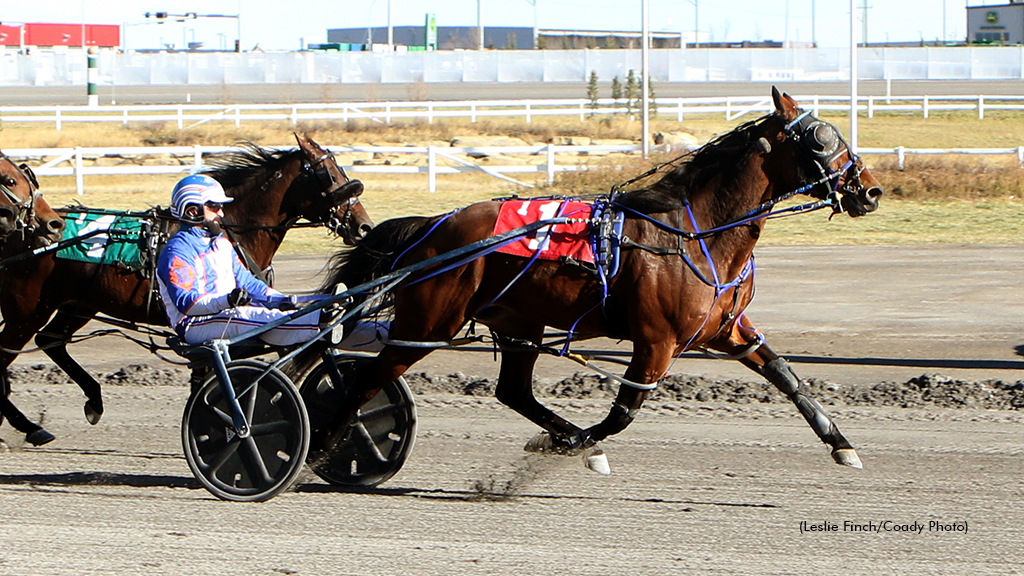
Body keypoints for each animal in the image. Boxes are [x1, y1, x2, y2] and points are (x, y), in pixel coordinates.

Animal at [0, 133, 374, 444]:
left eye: (340, 167)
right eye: (328, 175)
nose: (364, 226)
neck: (228, 229)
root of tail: (21, 232)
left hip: (78, 303)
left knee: (51, 340)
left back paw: (92, 399)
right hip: (27, 310)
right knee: (10, 354)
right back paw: (29, 427)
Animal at [315, 88, 884, 471]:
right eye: (822, 138)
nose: (870, 190)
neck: (692, 232)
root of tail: (432, 227)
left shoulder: (727, 331)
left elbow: (785, 375)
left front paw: (842, 444)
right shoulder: (656, 341)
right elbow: (623, 413)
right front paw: (575, 445)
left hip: (518, 322)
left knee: (513, 392)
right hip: (429, 324)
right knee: (369, 378)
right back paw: (324, 445)